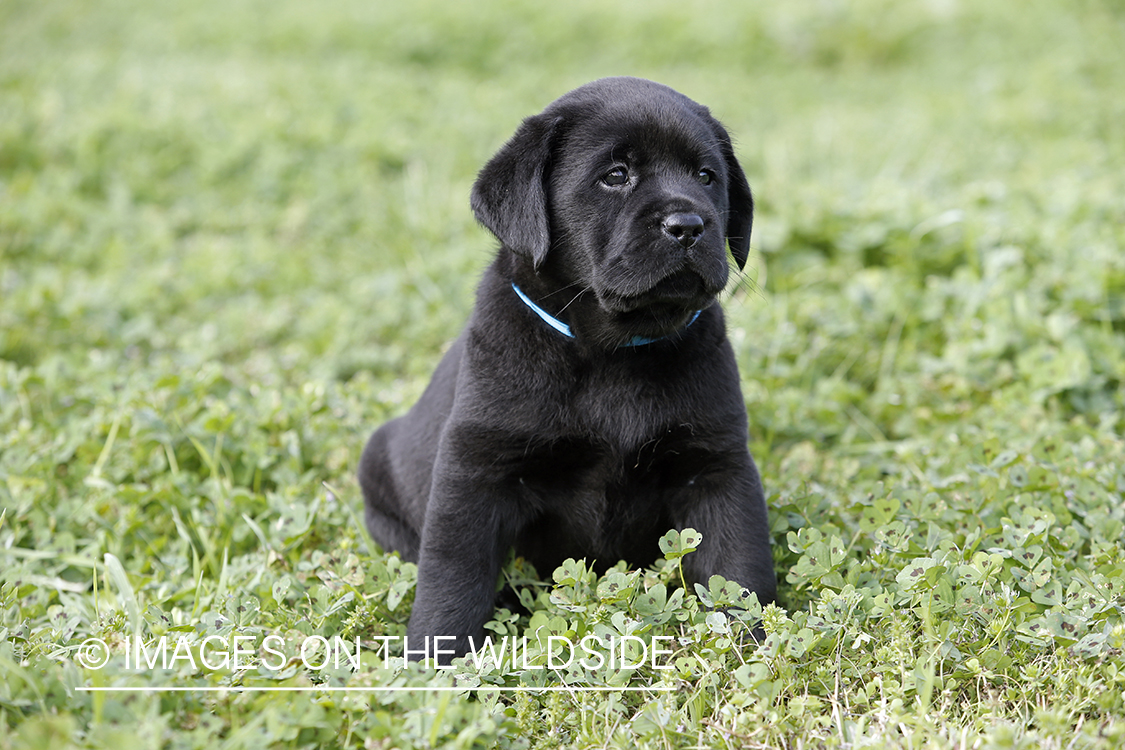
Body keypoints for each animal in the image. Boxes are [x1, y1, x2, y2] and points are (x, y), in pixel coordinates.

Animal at [357, 77, 774, 661]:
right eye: (615, 175)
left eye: (706, 176)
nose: (689, 224)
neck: (613, 353)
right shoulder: (476, 469)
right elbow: (454, 575)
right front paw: (437, 659)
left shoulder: (715, 464)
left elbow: (737, 564)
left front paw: (754, 646)